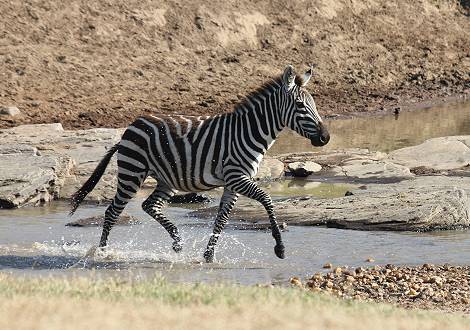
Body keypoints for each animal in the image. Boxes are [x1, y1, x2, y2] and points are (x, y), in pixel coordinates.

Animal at [70, 65, 330, 262]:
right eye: (300, 106)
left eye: (315, 105)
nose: (326, 138)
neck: (249, 132)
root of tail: (130, 127)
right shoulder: (237, 176)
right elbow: (267, 200)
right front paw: (280, 247)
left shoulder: (233, 183)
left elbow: (222, 219)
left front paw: (208, 256)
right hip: (132, 172)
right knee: (112, 211)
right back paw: (102, 252)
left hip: (166, 178)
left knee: (149, 205)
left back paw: (177, 242)